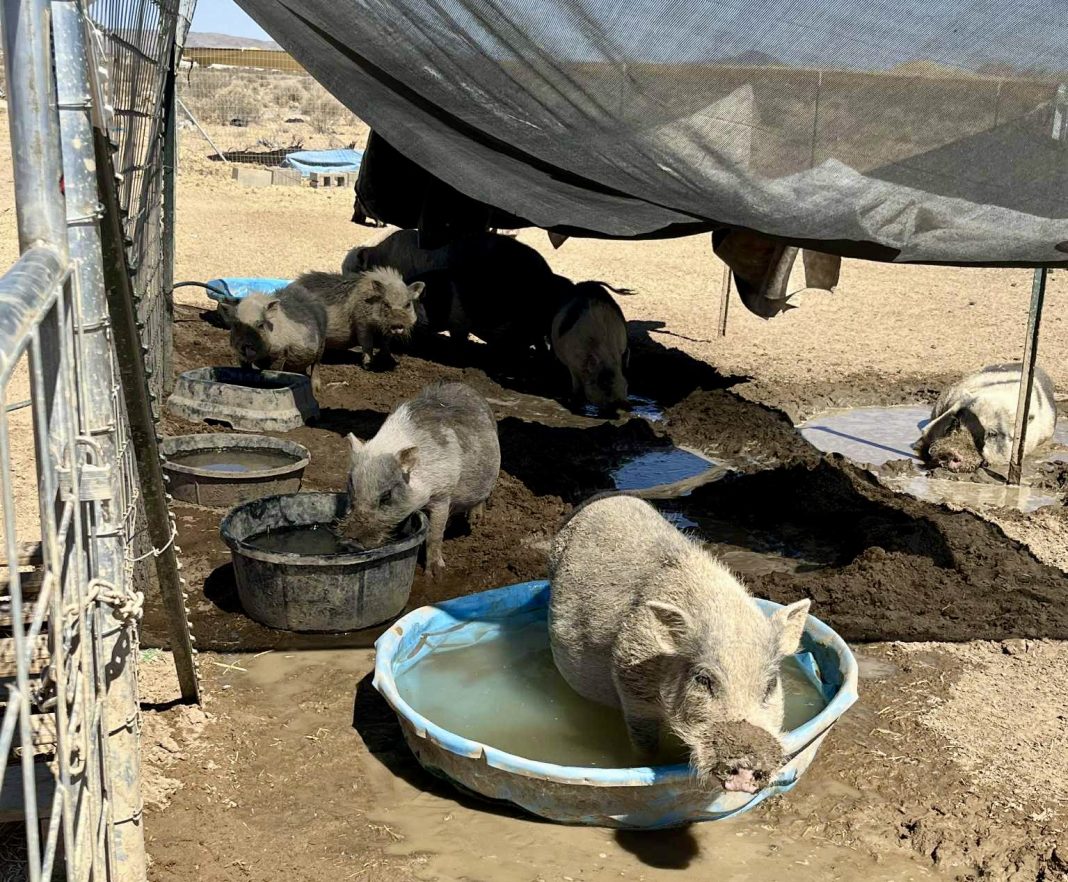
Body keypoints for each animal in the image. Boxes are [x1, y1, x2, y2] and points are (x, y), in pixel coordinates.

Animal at [289, 268, 425, 368]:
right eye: (386, 303)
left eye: (408, 304)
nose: (397, 325)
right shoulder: (362, 323)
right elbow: (367, 343)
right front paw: (368, 366)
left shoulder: (385, 331)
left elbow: (386, 344)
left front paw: (388, 361)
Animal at [337, 381, 500, 576]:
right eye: (352, 489)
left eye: (386, 496)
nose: (350, 542)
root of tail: (464, 386)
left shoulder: (442, 495)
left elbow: (434, 535)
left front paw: (435, 574)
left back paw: (476, 521)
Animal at [548, 494, 811, 794]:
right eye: (703, 679)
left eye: (770, 684)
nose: (745, 765)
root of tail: (605, 498)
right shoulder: (632, 687)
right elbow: (644, 745)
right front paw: (645, 764)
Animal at [550, 280, 630, 412]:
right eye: (604, 385)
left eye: (625, 384)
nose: (619, 403)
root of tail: (588, 282)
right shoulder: (572, 364)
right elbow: (576, 386)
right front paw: (576, 401)